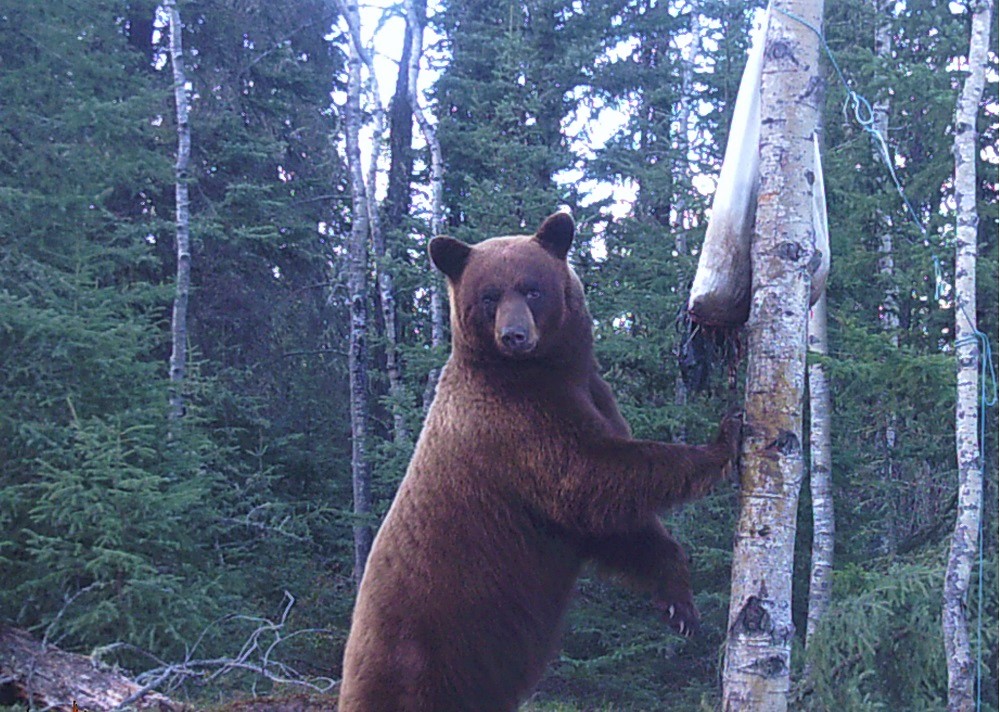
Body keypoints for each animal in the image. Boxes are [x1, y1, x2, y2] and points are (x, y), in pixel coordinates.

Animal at [340, 211, 740, 712]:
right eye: (489, 296)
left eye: (531, 288)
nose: (514, 336)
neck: (547, 373)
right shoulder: (515, 432)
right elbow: (593, 477)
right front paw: (724, 441)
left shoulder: (592, 399)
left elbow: (617, 524)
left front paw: (680, 605)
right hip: (417, 659)